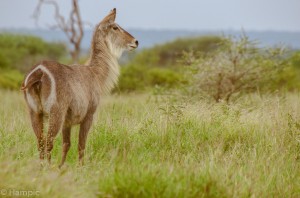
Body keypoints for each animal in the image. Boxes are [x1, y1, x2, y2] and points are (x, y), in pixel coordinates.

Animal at [21, 8, 139, 167]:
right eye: (115, 27)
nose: (135, 41)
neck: (94, 73)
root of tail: (39, 72)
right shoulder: (89, 115)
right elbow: (81, 145)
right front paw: (81, 167)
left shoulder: (67, 121)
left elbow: (66, 144)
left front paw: (61, 167)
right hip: (55, 113)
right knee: (48, 142)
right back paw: (48, 167)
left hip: (35, 112)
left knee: (40, 142)